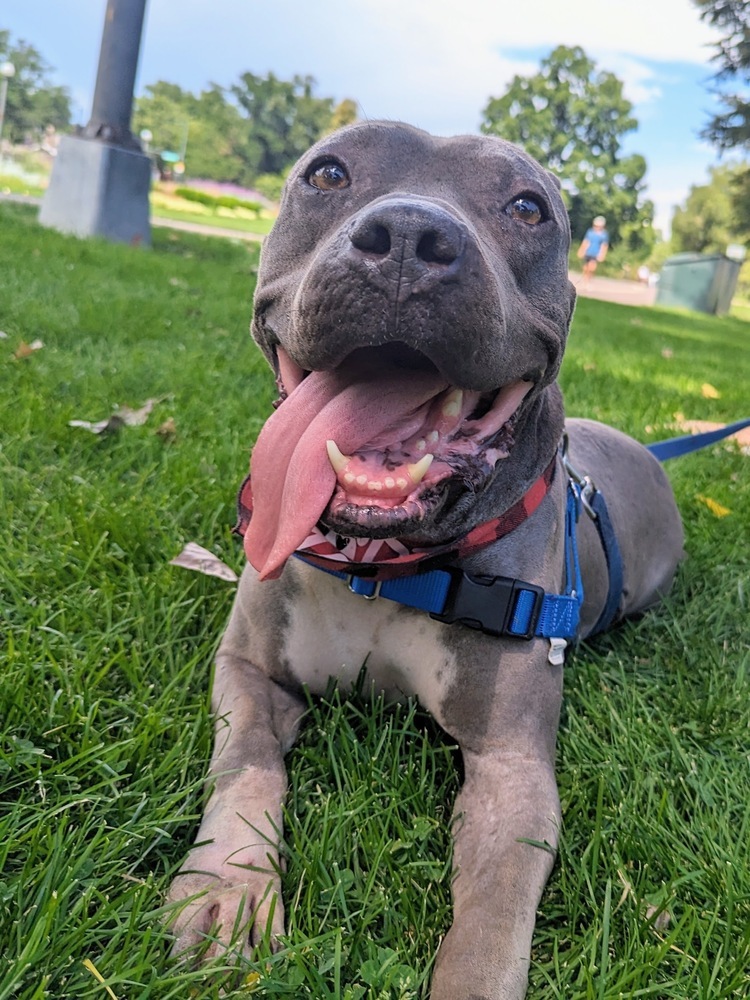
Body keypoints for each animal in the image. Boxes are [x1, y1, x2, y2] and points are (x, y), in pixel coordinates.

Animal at [169, 121, 688, 996]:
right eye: (327, 173)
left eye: (528, 207)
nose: (410, 238)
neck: (382, 568)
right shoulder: (247, 669)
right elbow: (247, 765)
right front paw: (227, 890)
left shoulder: (513, 767)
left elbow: (488, 925)